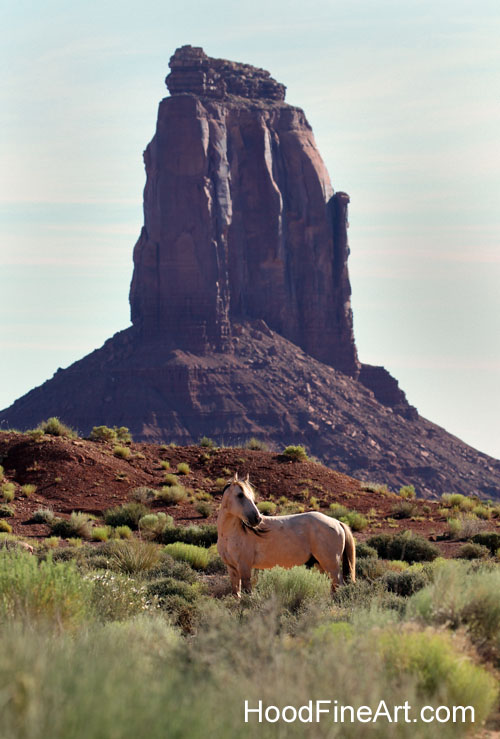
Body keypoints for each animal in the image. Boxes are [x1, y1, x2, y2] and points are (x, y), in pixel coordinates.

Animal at [217, 473, 356, 597]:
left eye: (251, 495)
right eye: (240, 495)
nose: (257, 519)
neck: (230, 535)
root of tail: (337, 522)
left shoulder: (244, 567)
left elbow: (247, 593)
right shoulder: (232, 569)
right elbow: (236, 593)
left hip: (331, 565)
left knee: (338, 584)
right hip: (320, 564)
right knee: (333, 586)